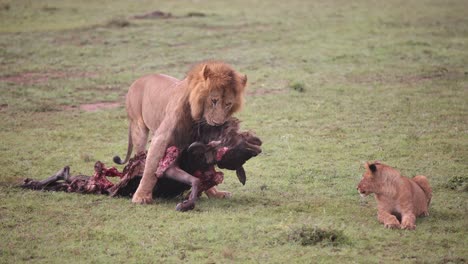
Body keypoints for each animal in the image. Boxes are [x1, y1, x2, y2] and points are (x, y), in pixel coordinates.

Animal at [114, 61, 247, 204]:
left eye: (228, 104)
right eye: (214, 100)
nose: (218, 123)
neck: (196, 119)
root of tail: (138, 80)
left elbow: (204, 169)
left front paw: (214, 193)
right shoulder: (161, 138)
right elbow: (150, 169)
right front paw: (141, 196)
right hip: (138, 128)